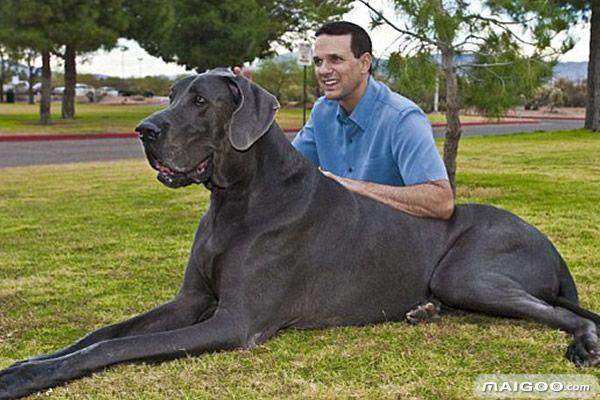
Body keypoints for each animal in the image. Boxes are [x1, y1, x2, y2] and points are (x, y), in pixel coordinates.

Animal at [1, 70, 600, 398]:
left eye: (201, 101)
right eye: (170, 94)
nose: (143, 129)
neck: (236, 201)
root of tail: (552, 247)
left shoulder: (234, 322)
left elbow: (115, 349)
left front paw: (23, 380)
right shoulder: (190, 300)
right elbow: (100, 334)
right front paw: (25, 365)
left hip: (466, 273)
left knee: (568, 315)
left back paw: (582, 343)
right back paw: (424, 311)